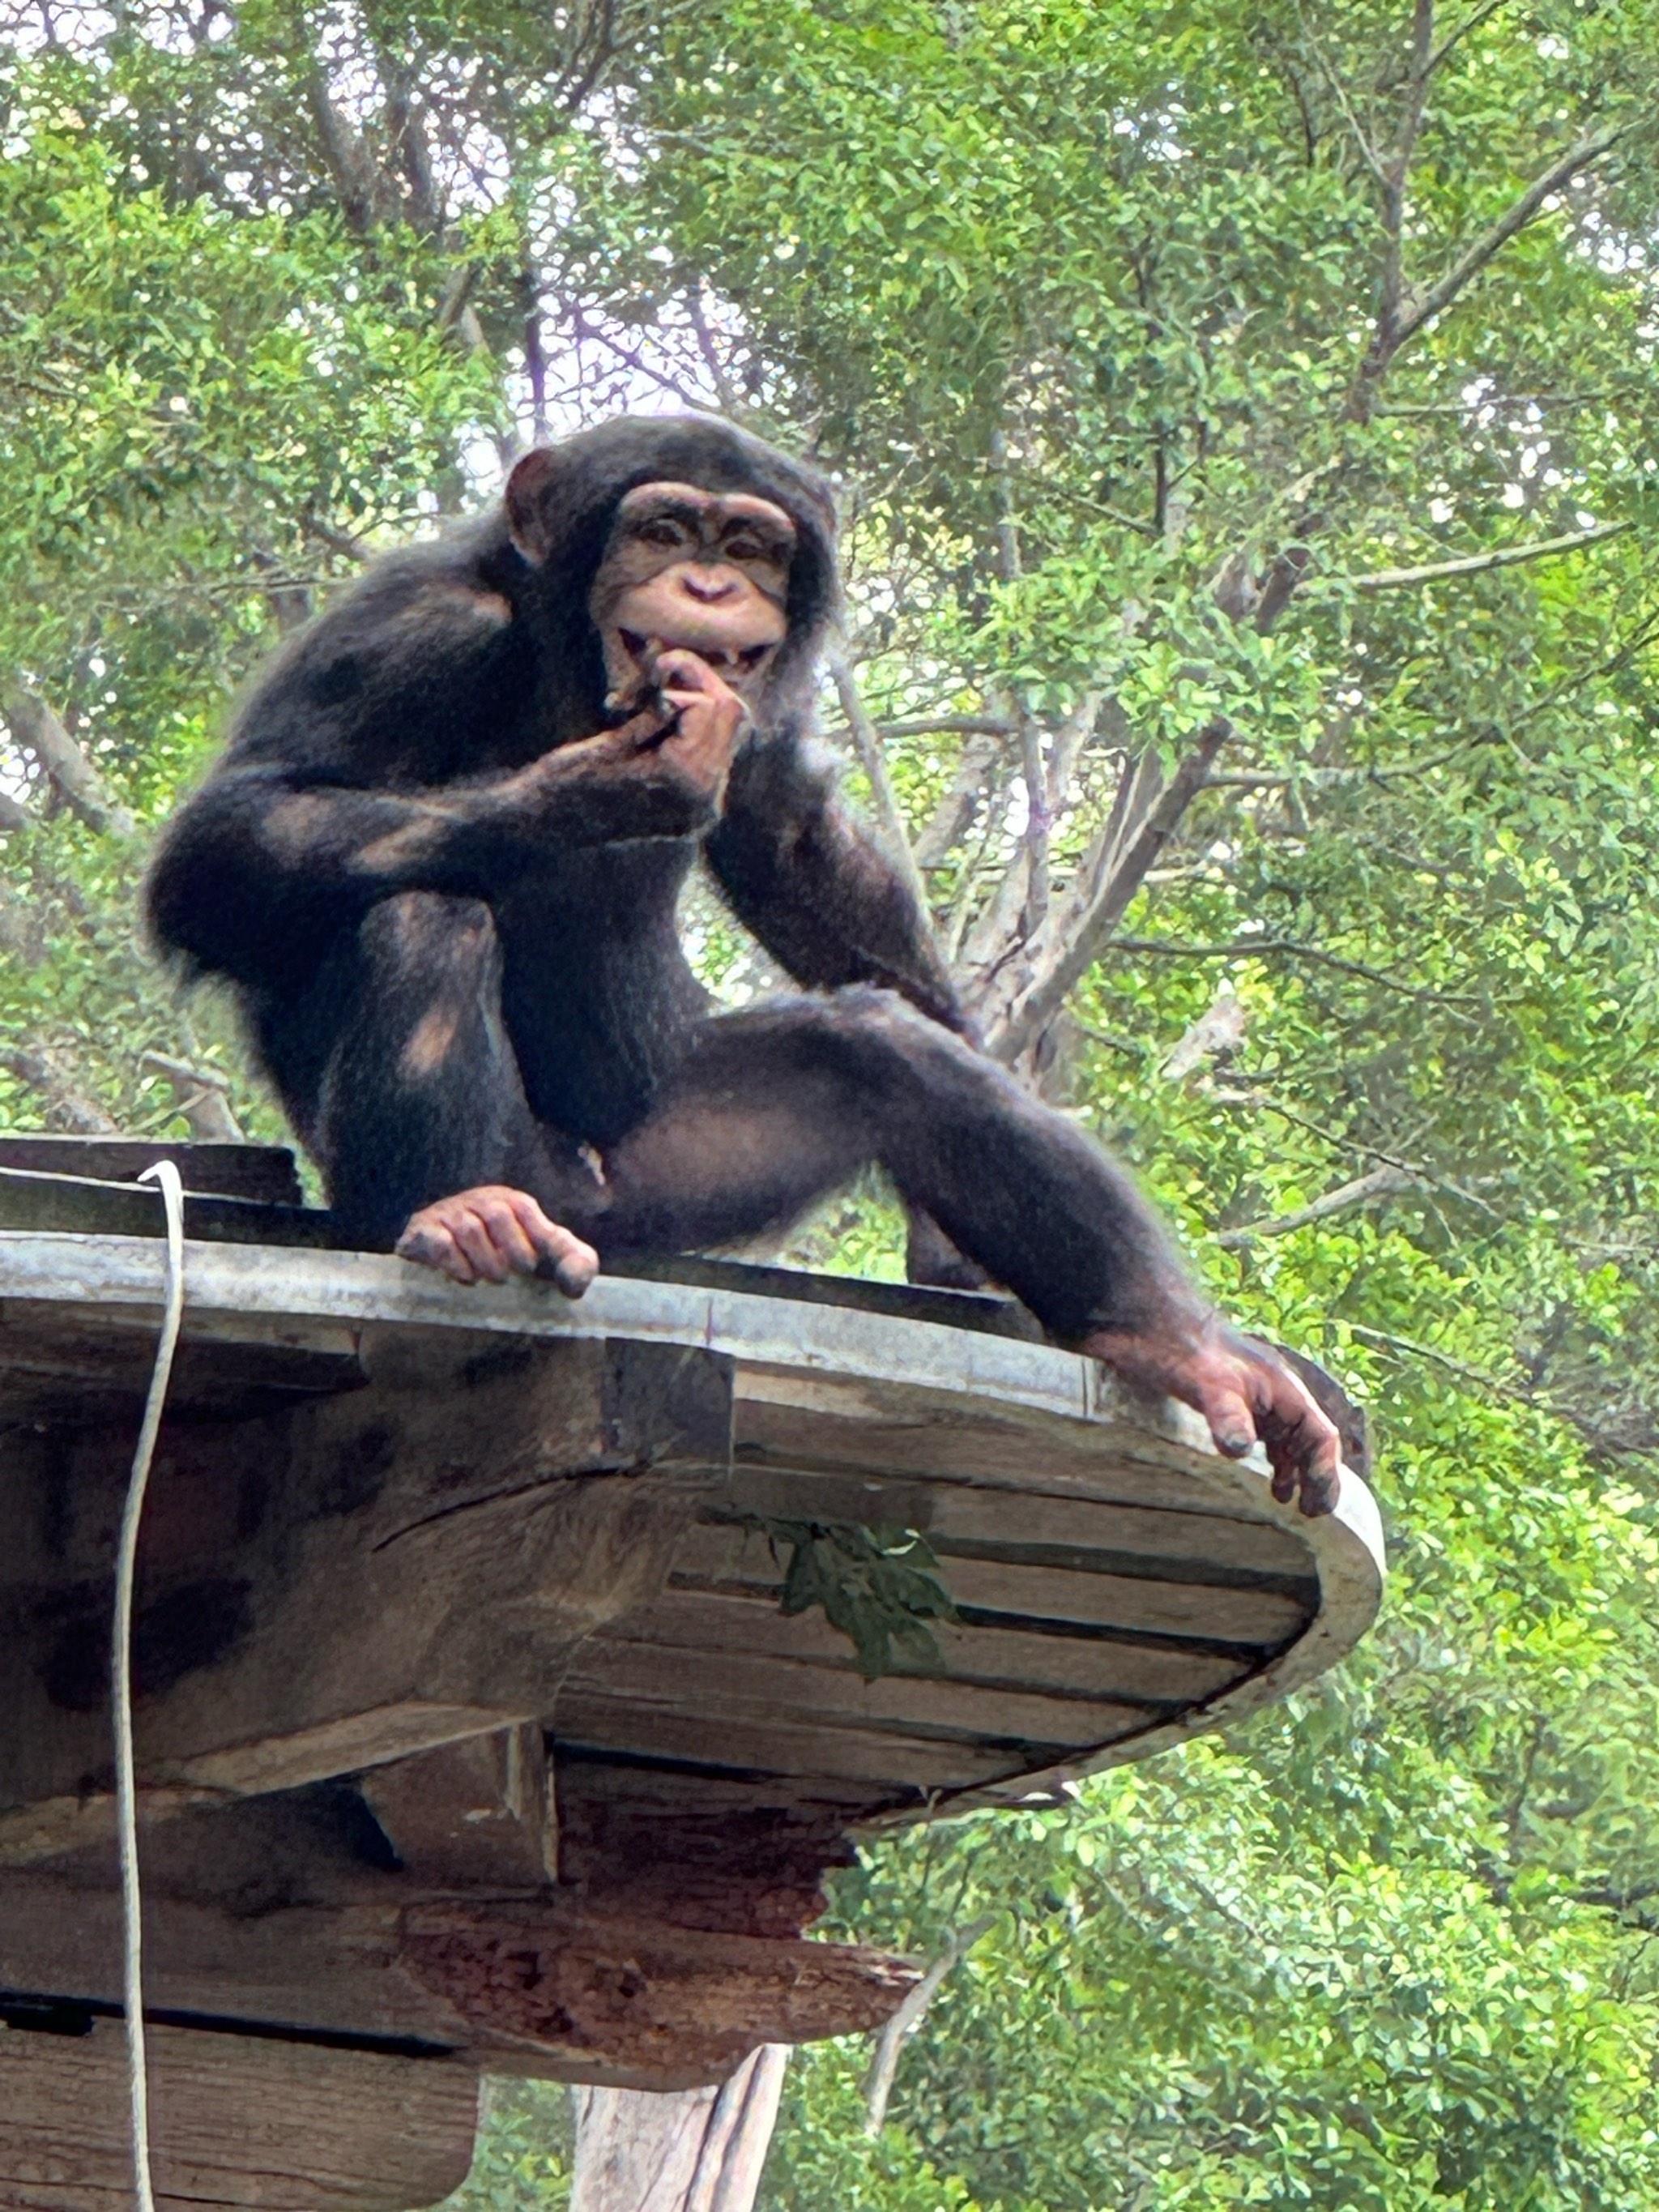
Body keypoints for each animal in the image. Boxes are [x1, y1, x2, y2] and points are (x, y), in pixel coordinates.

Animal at [139, 416, 1336, 1513]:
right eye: (664, 529)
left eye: (753, 545)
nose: (710, 583)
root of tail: (582, 1213)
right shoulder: (407, 629)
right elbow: (231, 836)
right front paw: (603, 785)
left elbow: (793, 841)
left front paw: (949, 1245)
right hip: (510, 1174)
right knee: (420, 913)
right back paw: (459, 1213)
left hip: (665, 1174)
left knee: (880, 1051)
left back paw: (1174, 1343)